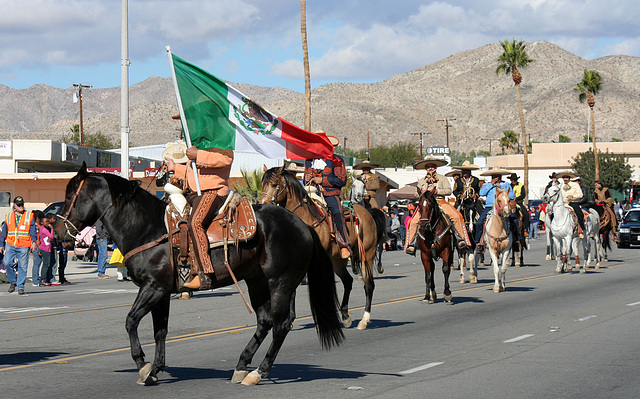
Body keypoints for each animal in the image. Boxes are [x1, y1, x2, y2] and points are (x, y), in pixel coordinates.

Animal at [54, 163, 342, 388]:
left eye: (69, 197)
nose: (57, 233)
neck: (146, 228)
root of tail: (302, 224)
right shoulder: (162, 292)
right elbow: (160, 331)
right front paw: (156, 369)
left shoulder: (153, 288)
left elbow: (131, 321)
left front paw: (143, 365)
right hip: (258, 282)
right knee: (265, 322)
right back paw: (241, 365)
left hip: (280, 283)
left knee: (281, 325)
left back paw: (258, 372)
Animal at [262, 166, 382, 332]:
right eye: (262, 184)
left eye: (274, 184)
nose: (262, 203)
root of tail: (367, 213)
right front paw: (289, 319)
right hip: (338, 260)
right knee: (348, 281)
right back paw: (345, 316)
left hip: (367, 255)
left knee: (368, 285)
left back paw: (364, 320)